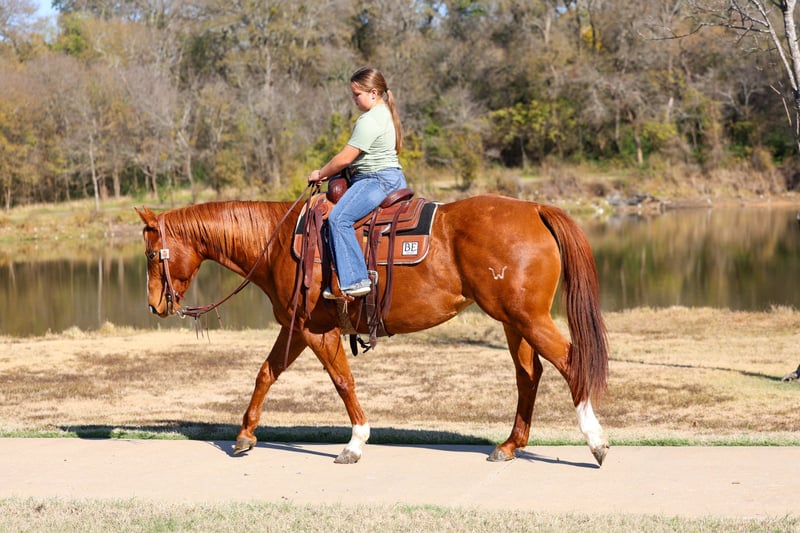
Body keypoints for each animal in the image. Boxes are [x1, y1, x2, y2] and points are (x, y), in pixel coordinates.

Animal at [135, 193, 609, 465]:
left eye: (150, 254)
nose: (154, 304)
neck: (278, 243)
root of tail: (536, 208)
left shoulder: (315, 332)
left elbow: (342, 381)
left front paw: (355, 442)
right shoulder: (298, 327)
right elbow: (266, 373)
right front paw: (245, 435)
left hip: (528, 318)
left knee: (571, 363)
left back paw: (596, 443)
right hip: (515, 321)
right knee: (529, 375)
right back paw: (510, 446)